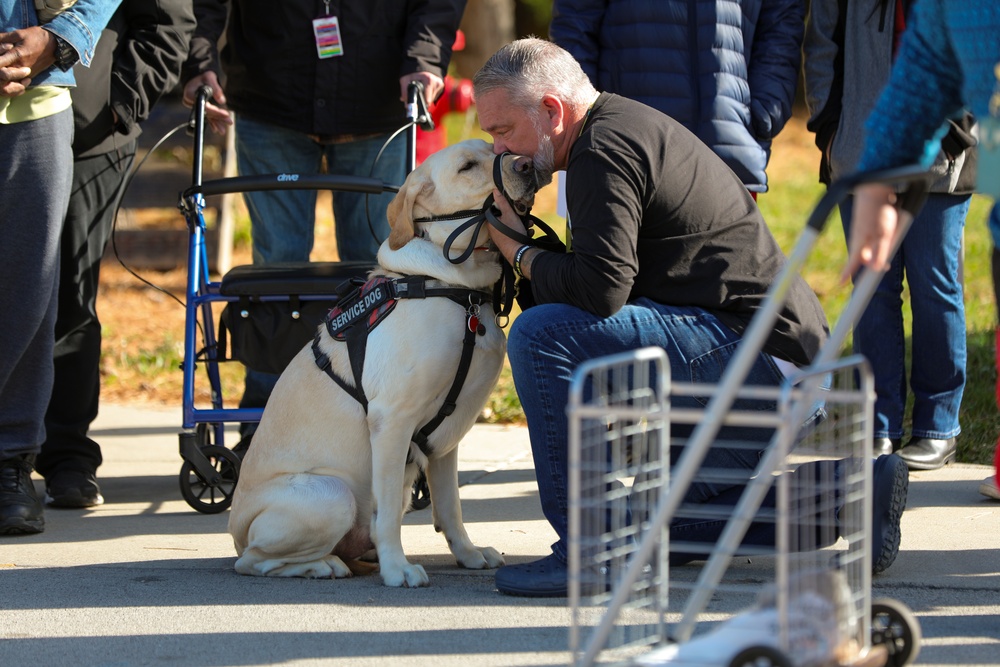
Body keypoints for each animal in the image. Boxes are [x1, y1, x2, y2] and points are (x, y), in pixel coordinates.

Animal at [228, 138, 540, 588]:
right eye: (467, 166)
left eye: (494, 147)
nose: (527, 165)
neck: (454, 289)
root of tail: (235, 530)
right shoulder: (392, 421)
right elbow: (390, 510)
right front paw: (398, 569)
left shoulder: (445, 439)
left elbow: (451, 507)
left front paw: (467, 554)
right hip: (331, 493)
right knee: (253, 561)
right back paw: (324, 564)